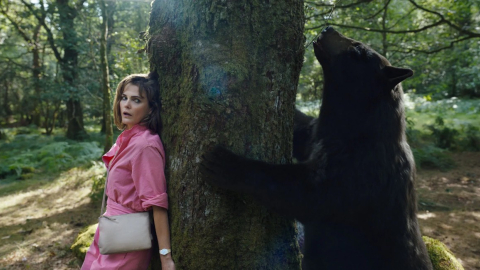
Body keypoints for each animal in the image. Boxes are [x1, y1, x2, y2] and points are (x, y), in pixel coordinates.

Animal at [201, 25, 434, 270]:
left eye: (358, 50)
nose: (329, 27)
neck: (353, 129)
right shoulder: (316, 135)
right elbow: (301, 129)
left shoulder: (359, 172)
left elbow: (304, 194)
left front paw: (226, 164)